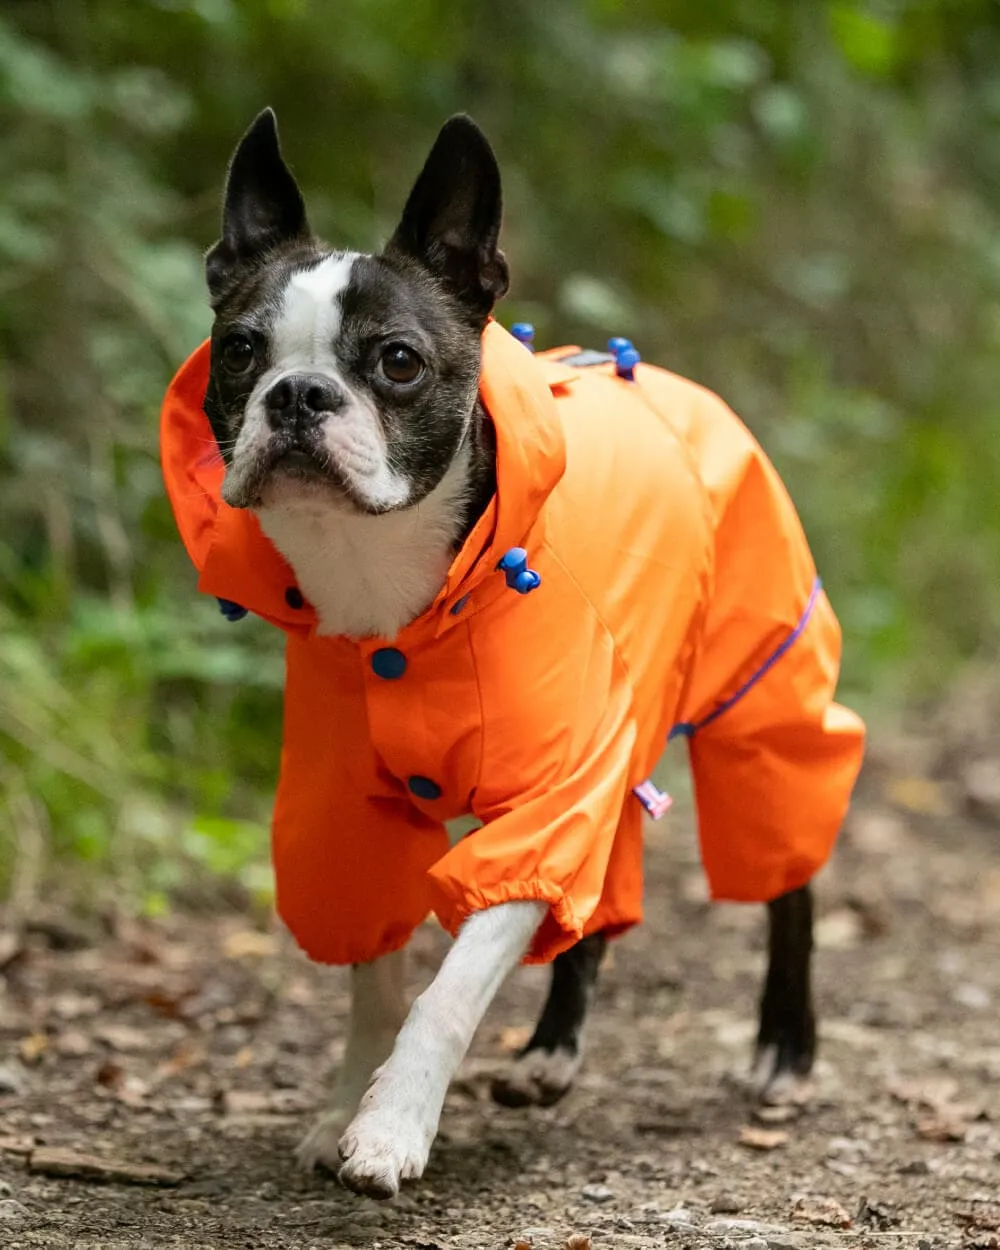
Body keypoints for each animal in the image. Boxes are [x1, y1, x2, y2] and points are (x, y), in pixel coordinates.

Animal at [160, 112, 865, 1195]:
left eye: (398, 361)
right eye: (238, 351)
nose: (299, 393)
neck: (396, 601)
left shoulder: (544, 803)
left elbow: (447, 991)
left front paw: (393, 1128)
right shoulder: (349, 816)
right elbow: (377, 984)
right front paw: (343, 1106)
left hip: (760, 688)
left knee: (787, 865)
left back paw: (783, 1047)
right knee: (606, 889)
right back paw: (550, 1054)